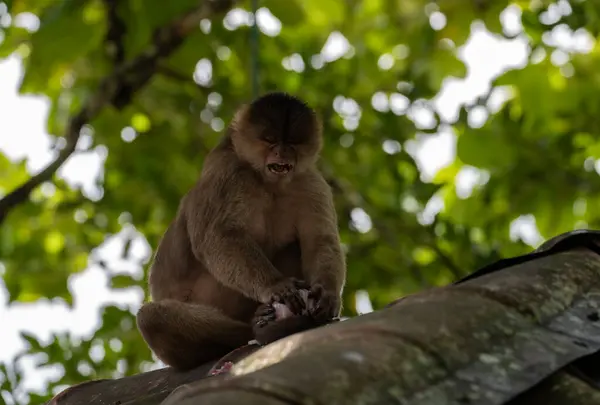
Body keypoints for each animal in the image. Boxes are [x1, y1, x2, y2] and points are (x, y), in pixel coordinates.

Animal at [134, 91, 344, 370]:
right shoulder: (228, 171)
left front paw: (327, 294)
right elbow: (218, 237)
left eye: (293, 142)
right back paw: (254, 329)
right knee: (152, 318)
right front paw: (276, 285)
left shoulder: (309, 181)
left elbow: (320, 240)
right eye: (270, 140)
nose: (282, 152)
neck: (268, 182)